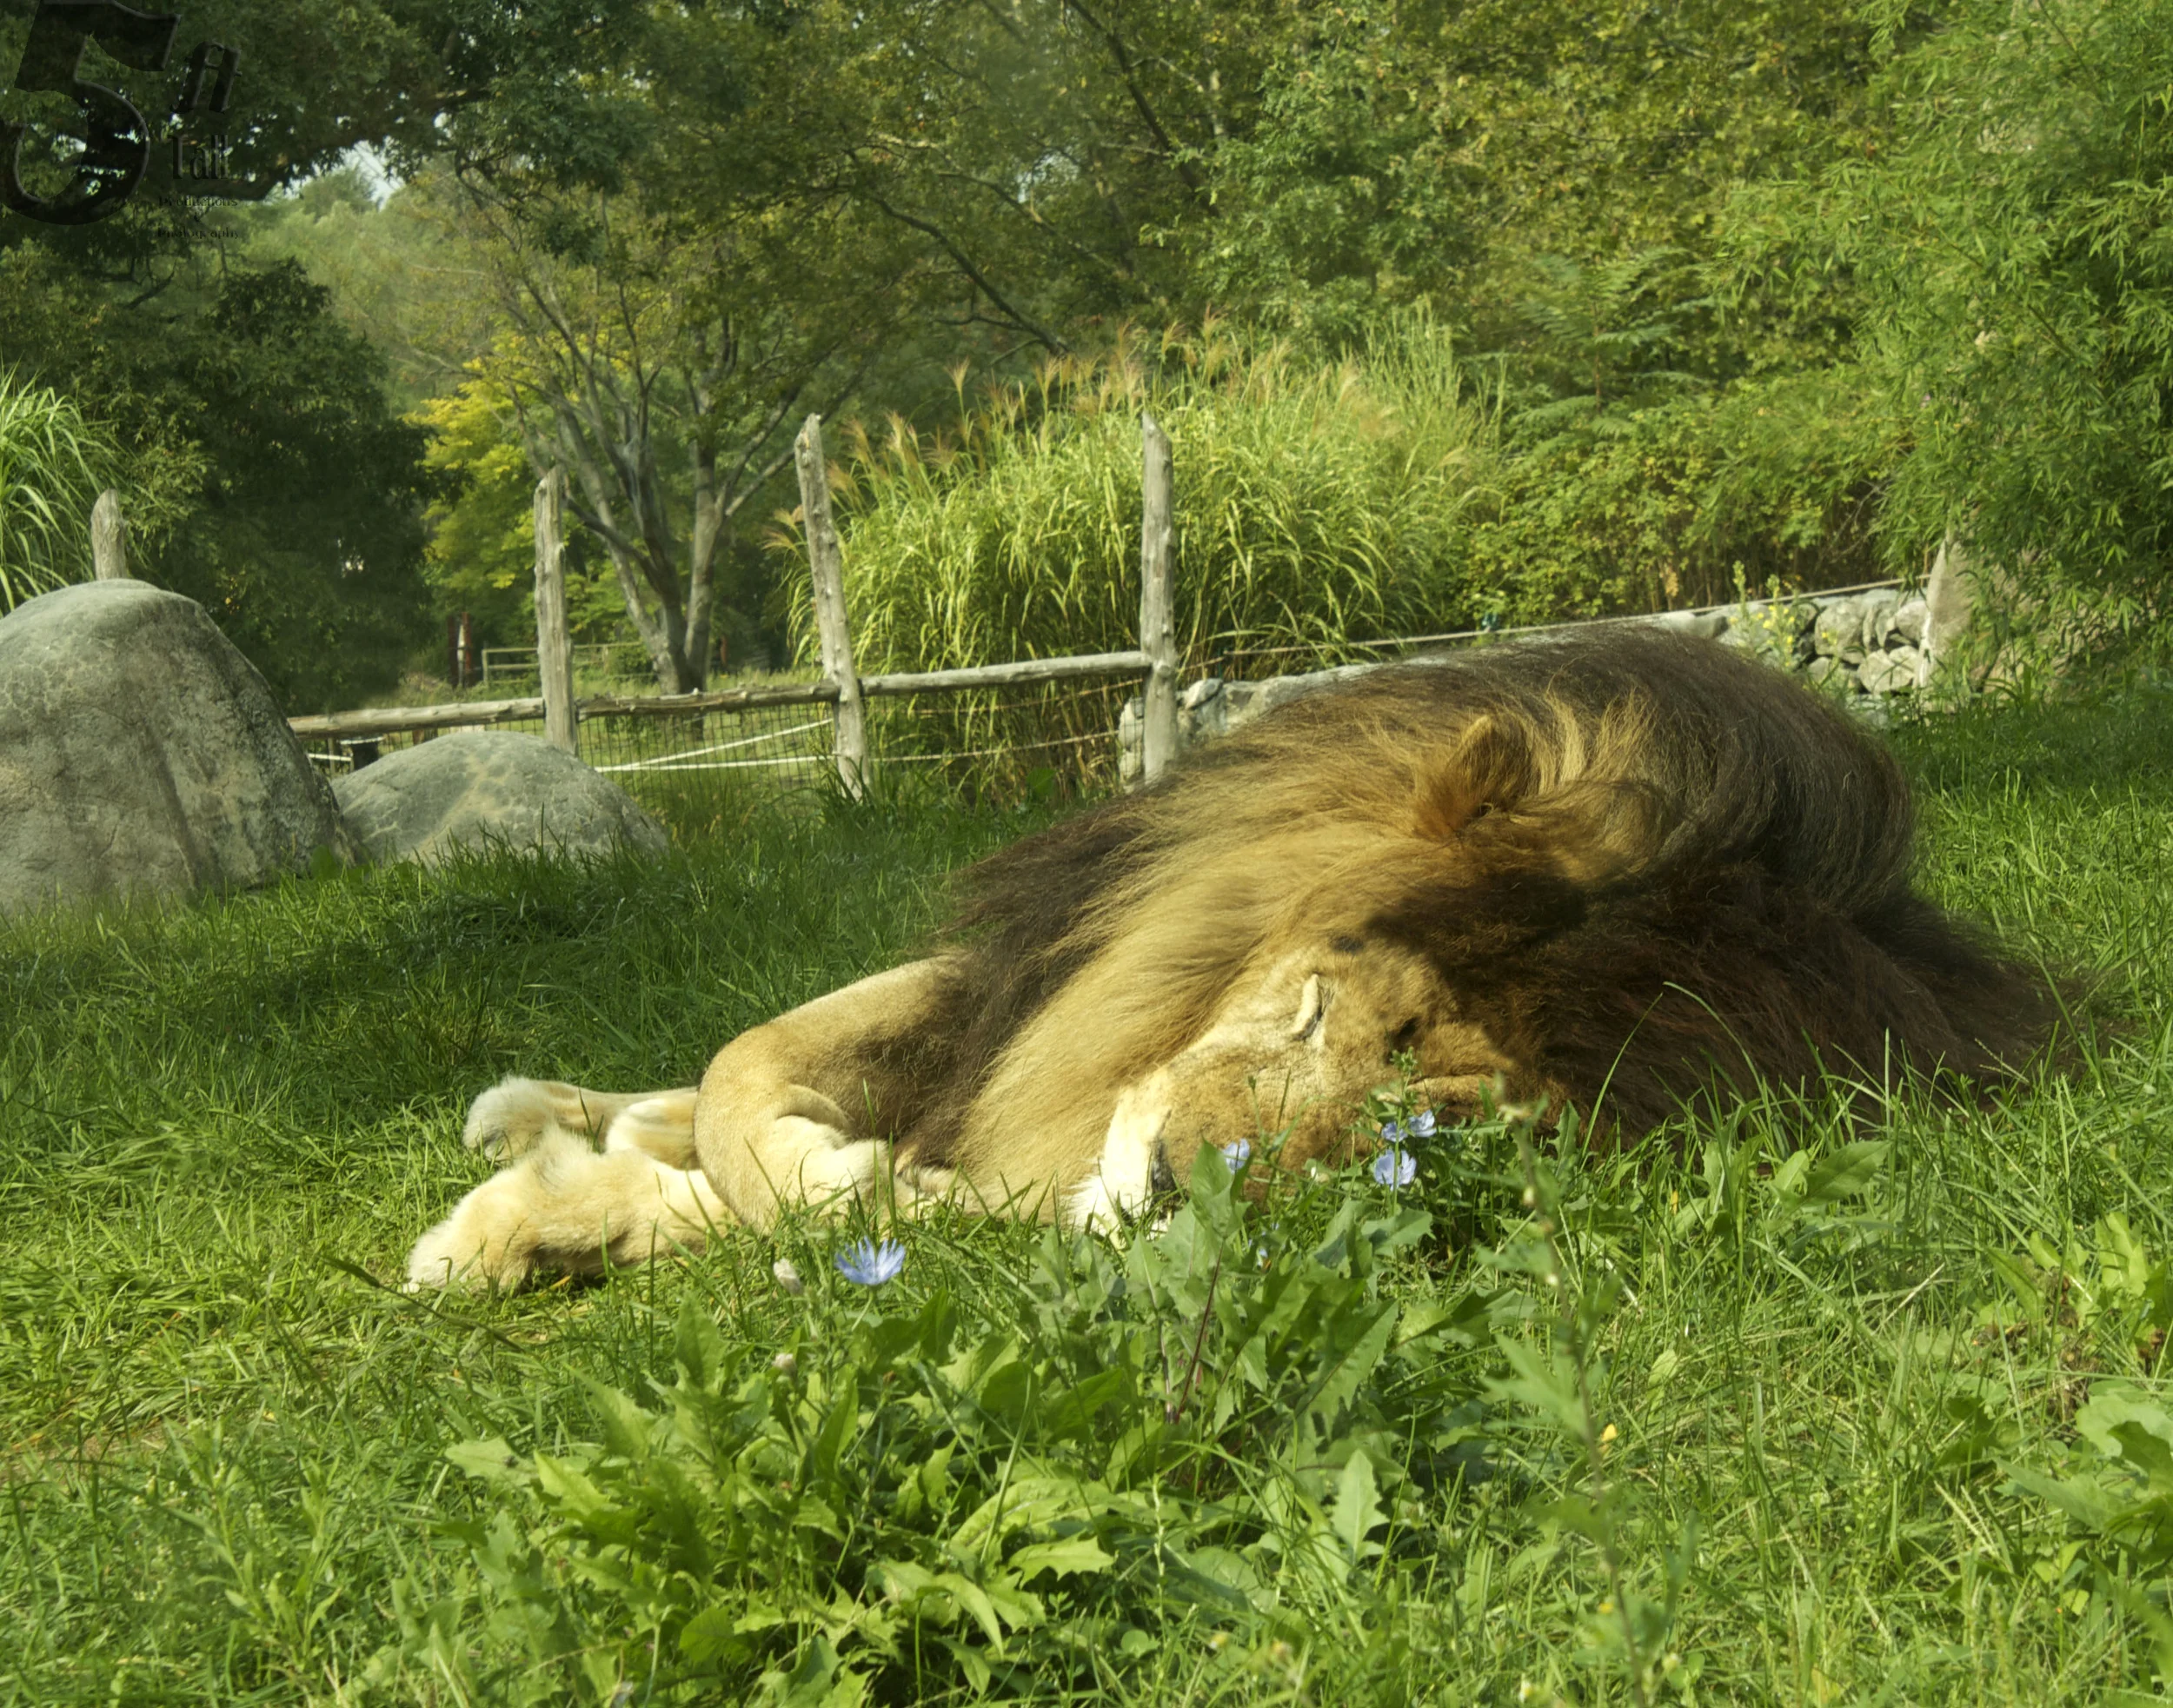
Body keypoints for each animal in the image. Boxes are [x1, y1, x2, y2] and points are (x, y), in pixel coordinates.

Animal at [406, 628, 2065, 1289]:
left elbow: (843, 1198)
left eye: (1423, 1136)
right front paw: (570, 1187)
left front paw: (567, 1217)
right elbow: (747, 1060)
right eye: (1319, 1005)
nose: (1164, 1191)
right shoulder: (1039, 972)